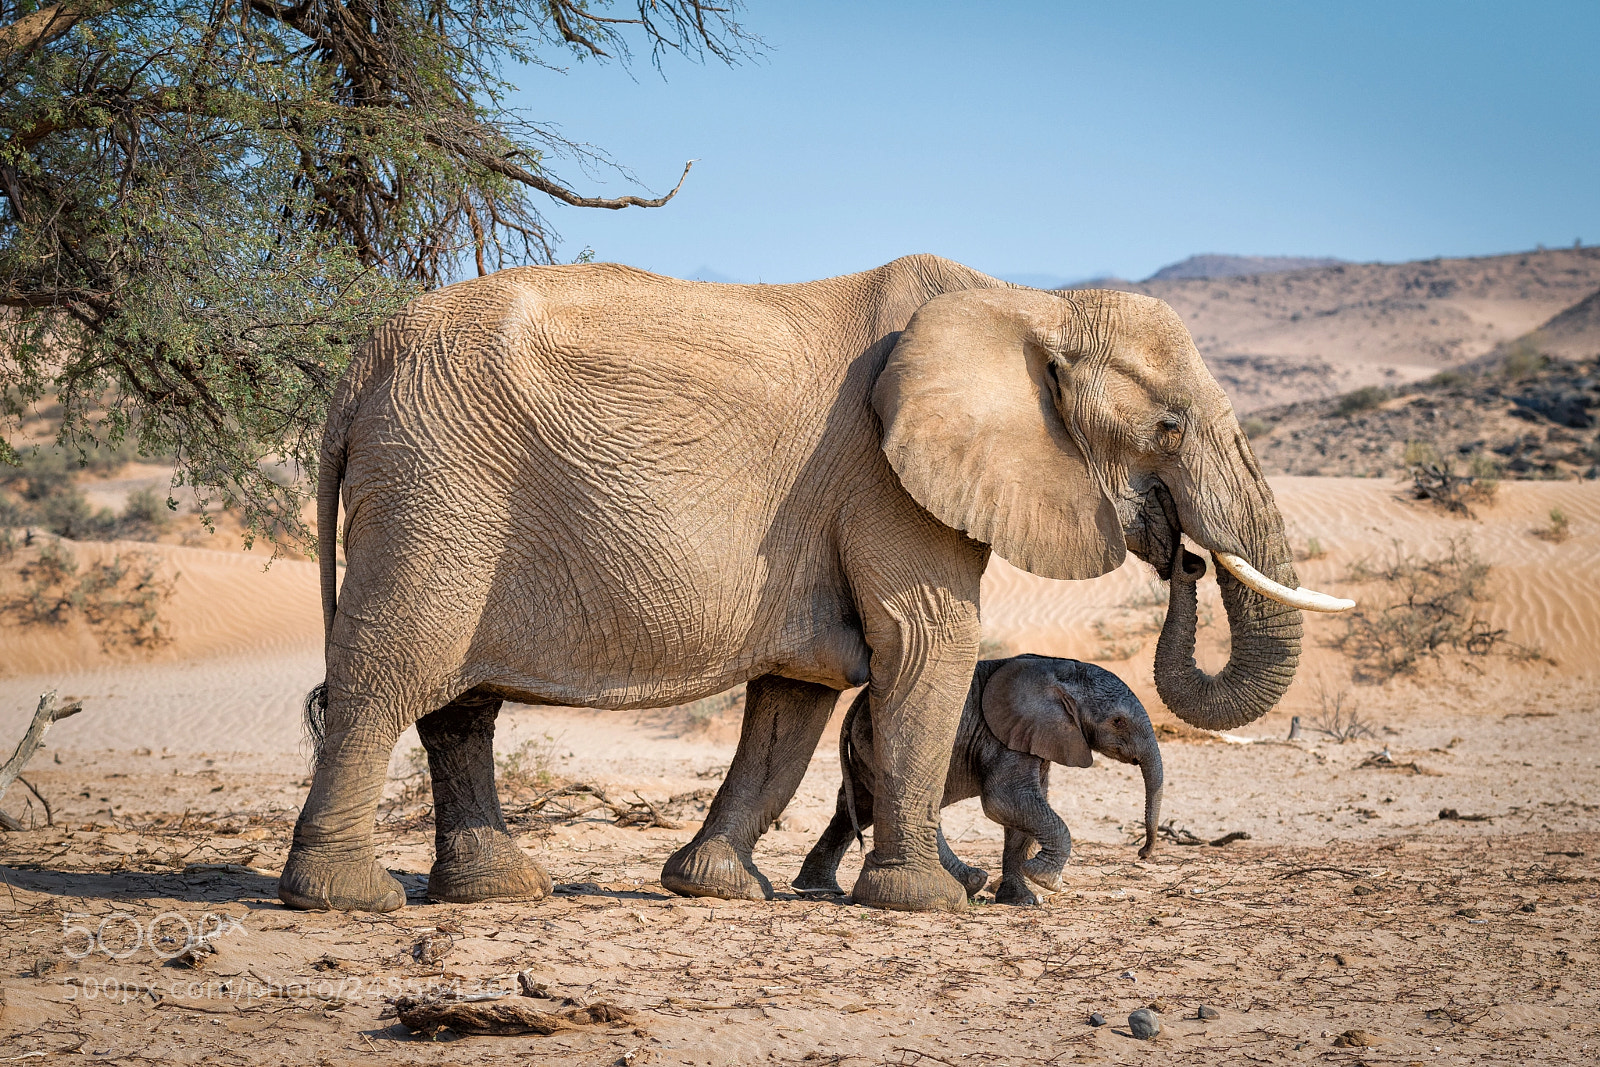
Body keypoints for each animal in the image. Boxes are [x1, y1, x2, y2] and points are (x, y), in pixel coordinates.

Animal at [794, 654, 1164, 906]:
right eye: (1118, 721)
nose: (1143, 853)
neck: (1059, 668)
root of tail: (857, 700)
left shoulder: (1034, 736)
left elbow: (1023, 814)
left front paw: (1022, 900)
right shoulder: (1005, 735)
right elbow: (1005, 802)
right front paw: (1045, 879)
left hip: (865, 744)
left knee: (858, 806)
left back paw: (814, 889)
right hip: (885, 739)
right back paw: (972, 882)